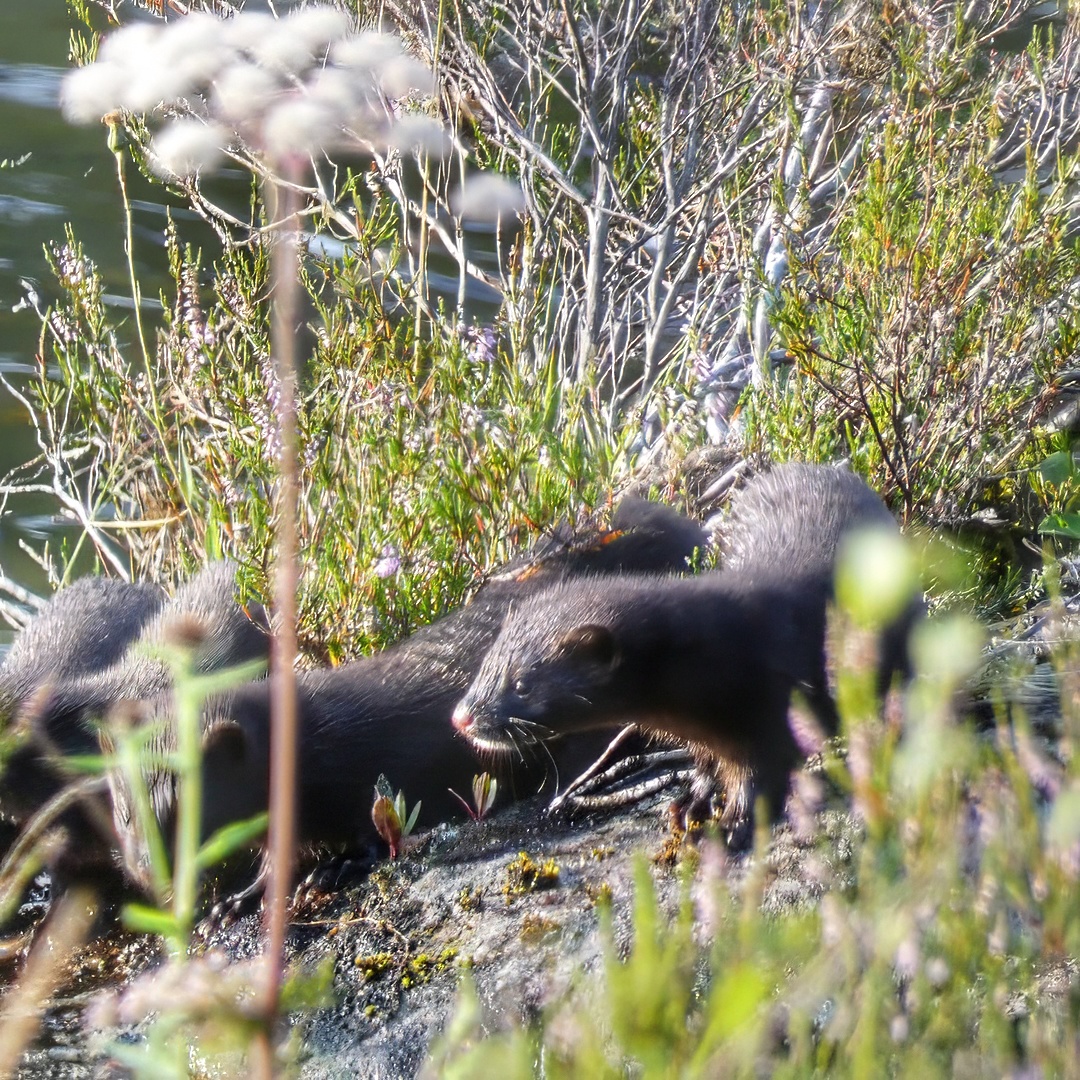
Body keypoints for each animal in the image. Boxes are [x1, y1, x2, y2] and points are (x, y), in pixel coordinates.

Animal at [451, 463, 917, 841]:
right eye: (485, 665)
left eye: (522, 684)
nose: (461, 718)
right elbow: (710, 764)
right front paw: (692, 802)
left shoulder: (772, 701)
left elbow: (762, 772)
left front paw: (732, 824)